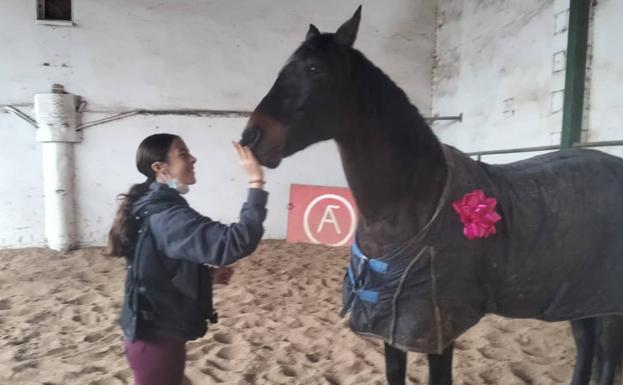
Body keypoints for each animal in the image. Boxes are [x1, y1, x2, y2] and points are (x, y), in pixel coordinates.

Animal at [241, 6, 623, 384]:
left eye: (314, 69)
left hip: (606, 304)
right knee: (585, 345)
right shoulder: (390, 327)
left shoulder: (437, 332)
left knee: (605, 355)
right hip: (576, 297)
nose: (250, 138)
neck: (410, 201)